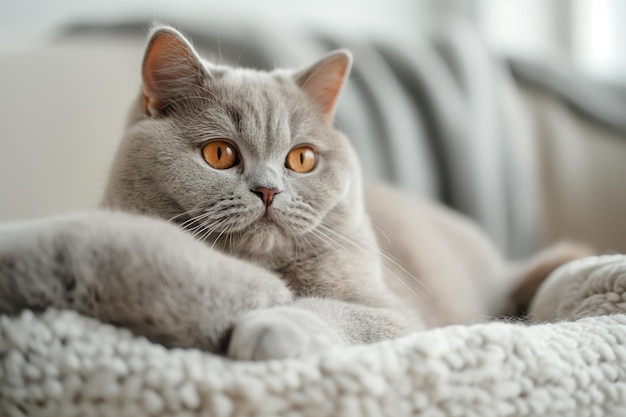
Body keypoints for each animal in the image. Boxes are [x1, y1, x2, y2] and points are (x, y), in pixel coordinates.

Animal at [0, 26, 588, 360]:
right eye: (220, 154)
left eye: (301, 159)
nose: (268, 190)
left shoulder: (397, 313)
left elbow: (331, 311)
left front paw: (273, 328)